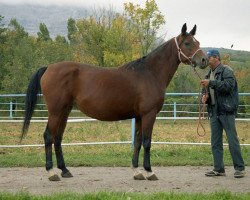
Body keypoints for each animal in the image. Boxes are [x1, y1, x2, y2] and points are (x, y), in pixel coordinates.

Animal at [21, 23, 208, 181]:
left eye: (197, 42)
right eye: (187, 43)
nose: (204, 60)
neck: (149, 73)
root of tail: (49, 68)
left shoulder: (139, 116)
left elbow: (138, 142)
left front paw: (137, 171)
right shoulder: (149, 114)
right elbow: (147, 142)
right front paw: (149, 171)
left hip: (64, 111)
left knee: (58, 137)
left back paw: (65, 170)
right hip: (55, 111)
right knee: (48, 136)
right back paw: (51, 172)